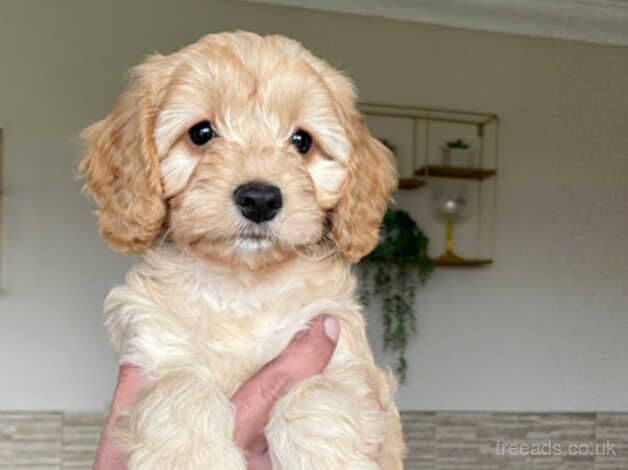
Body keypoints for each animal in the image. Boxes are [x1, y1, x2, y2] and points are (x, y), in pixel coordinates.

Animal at [79, 33, 402, 470]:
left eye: (302, 141)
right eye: (201, 133)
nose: (261, 199)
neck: (241, 285)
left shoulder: (340, 352)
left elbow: (319, 392)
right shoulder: (154, 347)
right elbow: (178, 387)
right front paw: (192, 458)